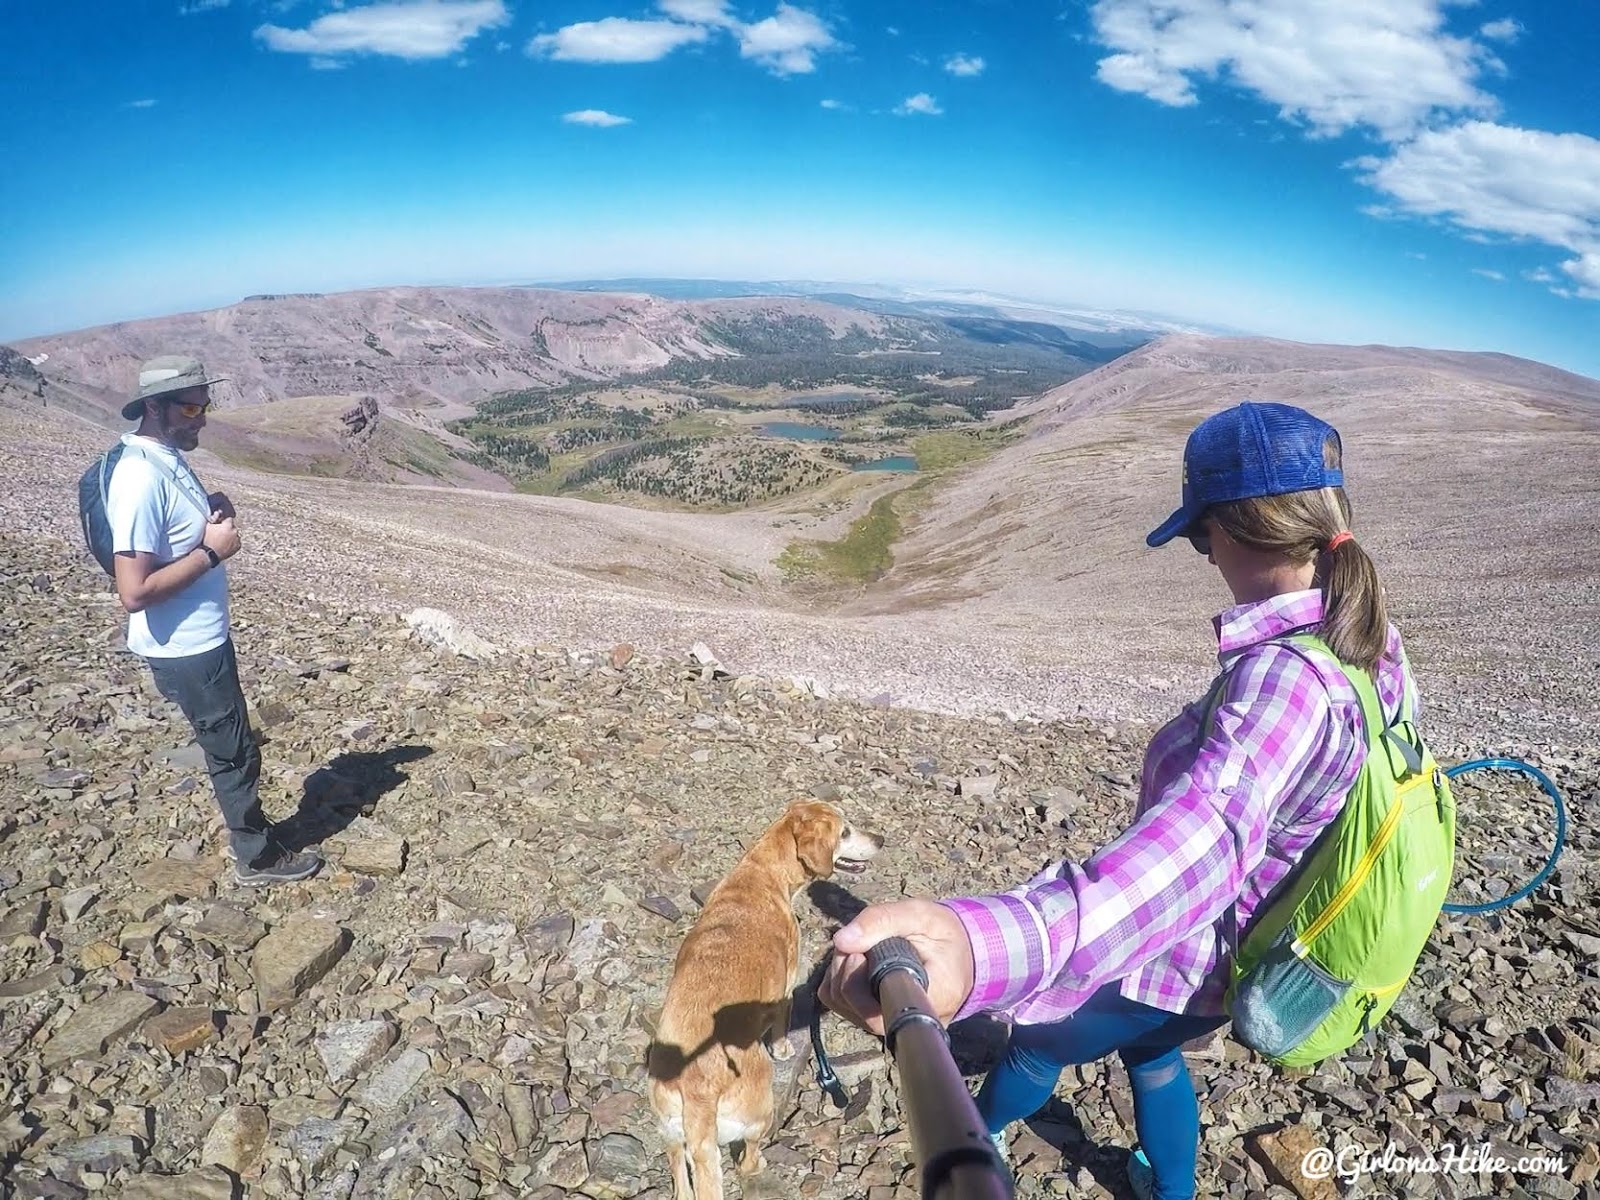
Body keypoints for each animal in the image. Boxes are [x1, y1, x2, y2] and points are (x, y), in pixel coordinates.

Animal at [643, 800, 883, 1200]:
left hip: (670, 1130)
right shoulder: (785, 987)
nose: (881, 839)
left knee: (680, 1175)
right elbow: (782, 1024)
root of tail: (697, 1094)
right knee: (746, 1158)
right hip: (760, 1111)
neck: (762, 872)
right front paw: (784, 1049)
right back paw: (759, 1163)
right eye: (845, 831)